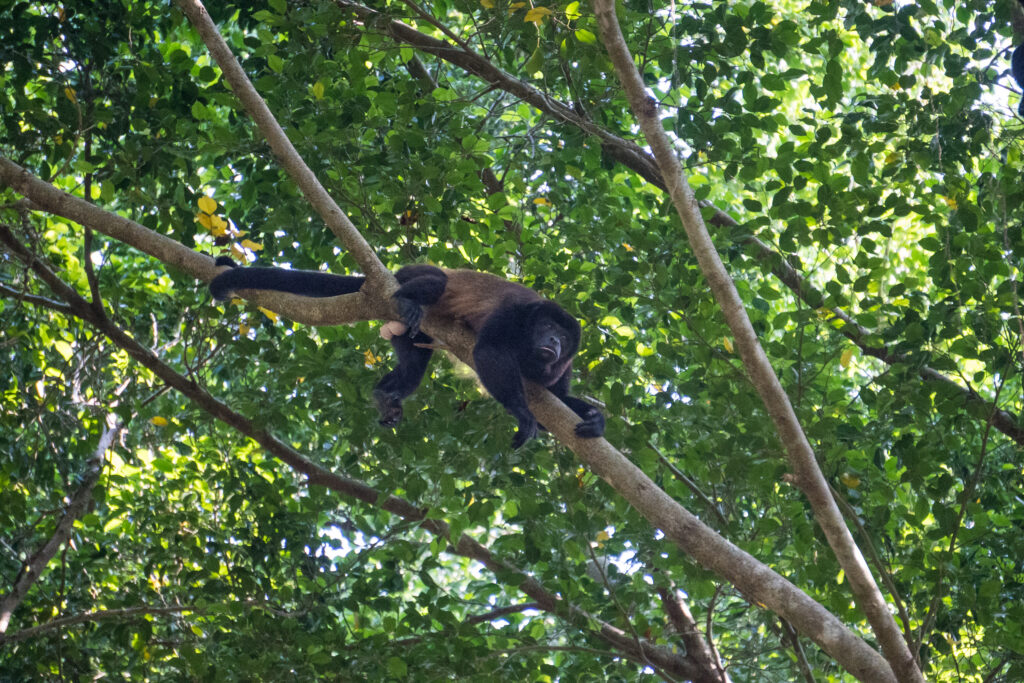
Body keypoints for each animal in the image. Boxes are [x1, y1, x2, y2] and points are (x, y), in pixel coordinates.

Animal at [209, 257, 605, 448]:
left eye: (564, 336)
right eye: (547, 327)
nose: (554, 342)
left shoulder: (564, 367)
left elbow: (557, 402)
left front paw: (596, 420)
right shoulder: (516, 313)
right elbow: (489, 350)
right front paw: (522, 414)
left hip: (410, 335)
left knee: (413, 367)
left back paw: (386, 395)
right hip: (407, 276)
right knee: (435, 281)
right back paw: (407, 298)